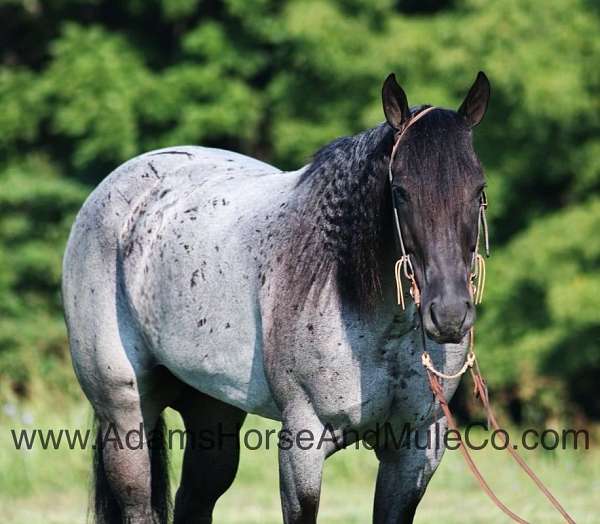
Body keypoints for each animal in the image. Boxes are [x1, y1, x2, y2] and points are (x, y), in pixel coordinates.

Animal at [62, 71, 492, 520]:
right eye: (402, 190)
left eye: (478, 188)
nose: (449, 314)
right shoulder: (303, 443)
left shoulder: (413, 449)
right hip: (125, 416)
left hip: (211, 414)